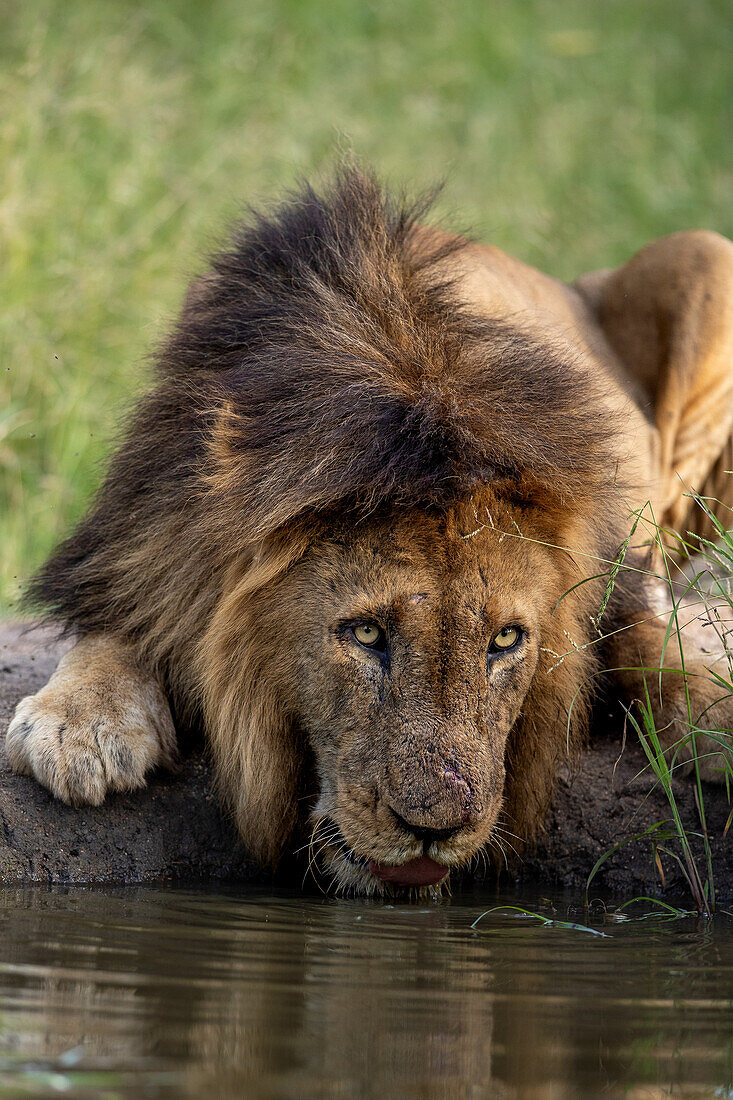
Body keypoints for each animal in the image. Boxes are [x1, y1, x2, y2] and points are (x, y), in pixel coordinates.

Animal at [5, 171, 730, 893]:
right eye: (365, 634)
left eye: (505, 640)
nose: (435, 829)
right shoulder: (143, 537)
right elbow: (121, 623)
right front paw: (80, 723)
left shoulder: (618, 572)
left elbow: (646, 639)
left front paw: (712, 705)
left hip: (703, 253)